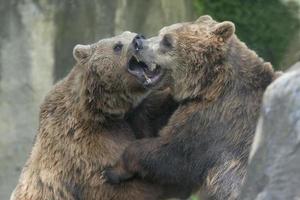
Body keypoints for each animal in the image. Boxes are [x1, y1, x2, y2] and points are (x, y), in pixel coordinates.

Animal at [10, 31, 177, 200]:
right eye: (117, 46)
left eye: (131, 33)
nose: (138, 38)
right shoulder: (83, 141)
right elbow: (108, 185)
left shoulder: (138, 113)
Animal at [103, 16, 278, 200]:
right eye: (161, 32)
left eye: (167, 40)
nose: (138, 42)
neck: (209, 86)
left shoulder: (215, 122)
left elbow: (173, 154)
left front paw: (114, 170)